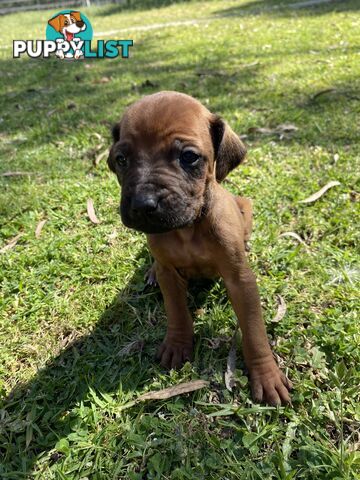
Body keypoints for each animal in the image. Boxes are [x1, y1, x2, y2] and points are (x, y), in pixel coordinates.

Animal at [107, 91, 292, 404]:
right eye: (121, 159)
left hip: (246, 205)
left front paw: (266, 375)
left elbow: (254, 331)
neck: (188, 229)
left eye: (189, 157)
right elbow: (177, 311)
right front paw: (177, 344)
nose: (143, 205)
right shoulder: (170, 275)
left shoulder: (239, 280)